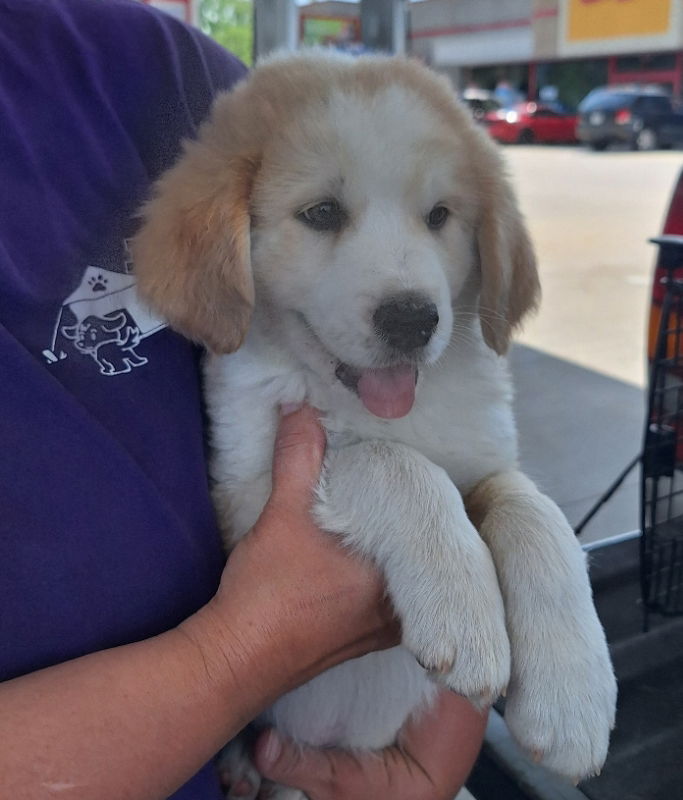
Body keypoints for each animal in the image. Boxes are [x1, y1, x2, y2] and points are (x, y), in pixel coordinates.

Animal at [134, 51, 620, 800]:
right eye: (322, 213)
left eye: (440, 216)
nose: (412, 319)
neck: (382, 408)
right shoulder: (241, 502)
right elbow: (384, 461)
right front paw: (462, 604)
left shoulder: (484, 457)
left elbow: (528, 506)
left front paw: (571, 695)